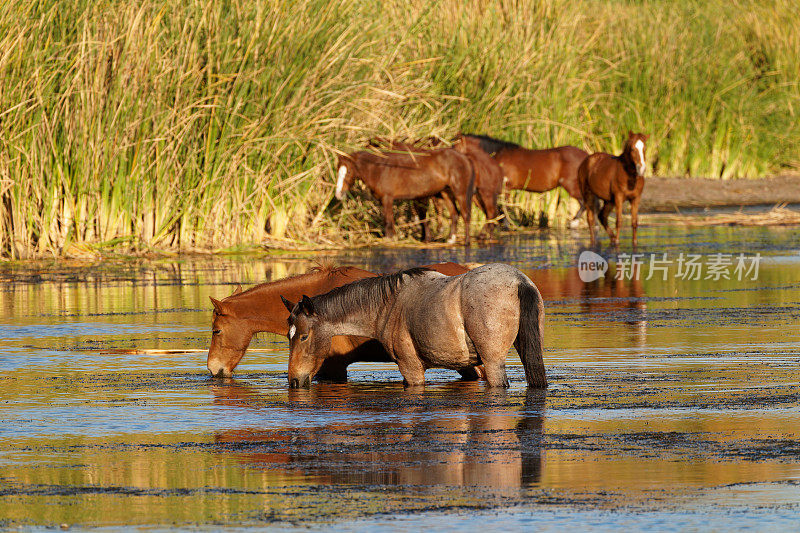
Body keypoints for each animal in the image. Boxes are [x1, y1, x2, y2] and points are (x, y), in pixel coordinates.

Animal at [278, 262, 548, 386]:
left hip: (492, 364)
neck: (388, 304)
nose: (294, 380)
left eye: (303, 336)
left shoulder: (411, 369)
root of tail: (518, 280)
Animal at [332, 147, 472, 244]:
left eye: (349, 171)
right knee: (454, 214)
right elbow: (387, 220)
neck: (379, 169)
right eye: (338, 170)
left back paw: (466, 241)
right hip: (445, 193)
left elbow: (388, 220)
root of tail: (464, 157)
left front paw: (391, 238)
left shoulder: (387, 198)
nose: (338, 194)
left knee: (465, 215)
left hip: (460, 193)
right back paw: (451, 239)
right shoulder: (383, 200)